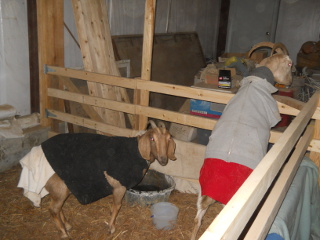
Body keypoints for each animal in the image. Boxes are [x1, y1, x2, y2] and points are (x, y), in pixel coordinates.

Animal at [22, 121, 178, 239]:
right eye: (152, 139)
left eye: (168, 139)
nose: (163, 160)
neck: (137, 152)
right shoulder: (119, 186)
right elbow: (117, 206)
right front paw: (111, 227)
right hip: (60, 187)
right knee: (53, 209)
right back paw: (63, 232)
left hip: (60, 190)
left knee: (58, 207)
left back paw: (67, 225)